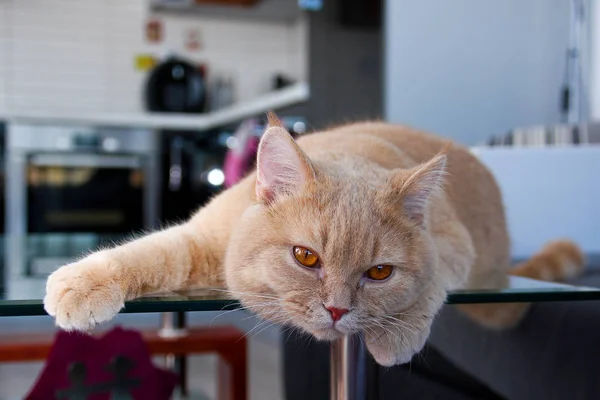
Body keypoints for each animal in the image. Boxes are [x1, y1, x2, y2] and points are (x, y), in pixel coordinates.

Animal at [43, 112, 584, 366]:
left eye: (379, 272)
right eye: (305, 257)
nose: (338, 310)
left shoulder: (452, 248)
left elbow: (429, 287)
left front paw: (396, 333)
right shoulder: (204, 239)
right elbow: (152, 252)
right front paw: (81, 284)